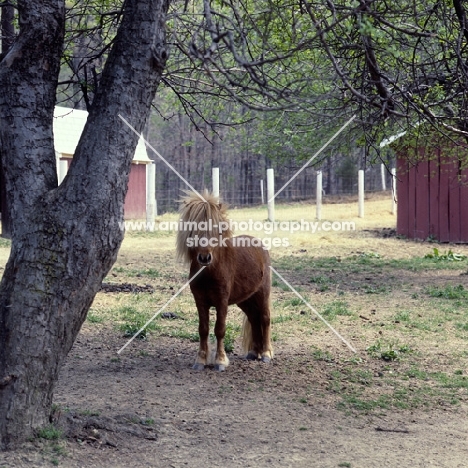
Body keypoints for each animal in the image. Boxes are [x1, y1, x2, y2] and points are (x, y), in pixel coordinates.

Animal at [176, 189, 274, 370]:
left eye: (215, 229)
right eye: (193, 228)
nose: (205, 257)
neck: (210, 272)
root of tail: (260, 245)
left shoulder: (222, 301)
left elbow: (219, 329)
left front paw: (220, 361)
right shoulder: (200, 301)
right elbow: (203, 329)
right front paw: (200, 360)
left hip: (262, 293)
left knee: (265, 318)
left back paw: (266, 354)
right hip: (245, 299)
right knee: (254, 318)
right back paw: (253, 352)